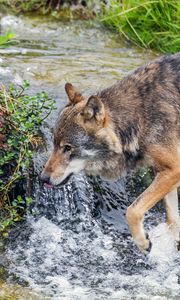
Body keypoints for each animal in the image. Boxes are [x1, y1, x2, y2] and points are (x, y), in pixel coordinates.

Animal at [41, 54, 180, 253]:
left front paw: (143, 242)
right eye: (53, 144)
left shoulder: (174, 169)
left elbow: (132, 210)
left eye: (67, 148)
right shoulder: (165, 170)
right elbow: (172, 221)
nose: (42, 178)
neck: (141, 116)